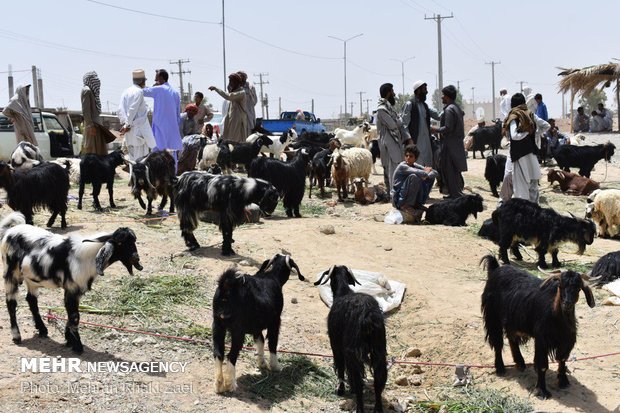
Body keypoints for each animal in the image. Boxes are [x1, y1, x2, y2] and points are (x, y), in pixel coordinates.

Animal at [0, 211, 143, 352]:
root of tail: (9, 231)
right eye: (120, 243)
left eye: (134, 241)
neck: (86, 258)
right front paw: (77, 346)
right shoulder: (72, 288)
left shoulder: (76, 291)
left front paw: (69, 340)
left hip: (31, 279)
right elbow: (74, 317)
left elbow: (71, 316)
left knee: (31, 300)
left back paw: (42, 329)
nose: (136, 258)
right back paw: (17, 335)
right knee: (11, 303)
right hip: (10, 273)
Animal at [213, 253, 306, 392]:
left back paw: (219, 384)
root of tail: (227, 287)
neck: (272, 276)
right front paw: (275, 366)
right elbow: (272, 343)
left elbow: (260, 341)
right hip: (237, 330)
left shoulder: (256, 326)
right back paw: (231, 384)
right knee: (231, 355)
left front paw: (262, 363)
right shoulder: (275, 322)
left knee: (218, 353)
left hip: (217, 326)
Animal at [314, 266, 388, 410]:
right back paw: (378, 408)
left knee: (358, 381)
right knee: (379, 380)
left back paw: (359, 407)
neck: (343, 292)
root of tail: (368, 316)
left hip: (353, 351)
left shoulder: (336, 345)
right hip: (379, 350)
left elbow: (341, 367)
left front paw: (341, 390)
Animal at [480, 254, 596, 400]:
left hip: (513, 319)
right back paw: (500, 368)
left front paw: (563, 381)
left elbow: (562, 359)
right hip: (492, 316)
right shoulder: (542, 340)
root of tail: (496, 269)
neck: (556, 316)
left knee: (512, 339)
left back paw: (520, 363)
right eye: (560, 286)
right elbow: (542, 366)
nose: (567, 303)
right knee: (497, 342)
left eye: (578, 288)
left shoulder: (566, 341)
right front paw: (542, 391)